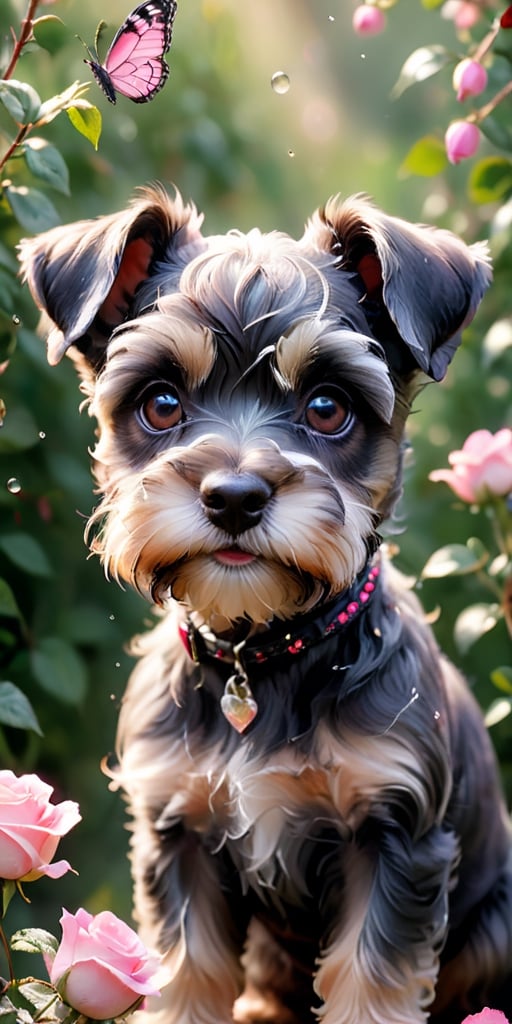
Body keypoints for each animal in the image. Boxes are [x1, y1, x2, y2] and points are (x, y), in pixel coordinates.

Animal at [18, 192, 509, 1024]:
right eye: (160, 403)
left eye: (327, 407)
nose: (235, 495)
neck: (266, 653)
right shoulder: (178, 832)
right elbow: (187, 981)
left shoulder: (395, 841)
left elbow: (368, 989)